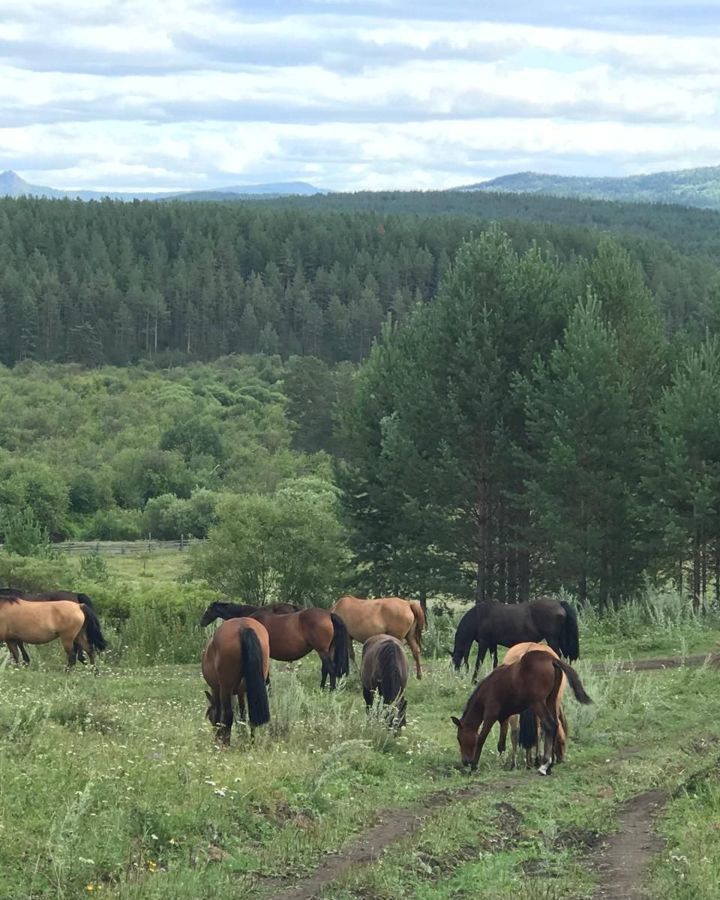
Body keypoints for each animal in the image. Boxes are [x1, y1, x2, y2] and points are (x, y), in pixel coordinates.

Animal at [450, 596, 580, 684]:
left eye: (455, 661)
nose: (456, 676)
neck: (478, 617)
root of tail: (559, 603)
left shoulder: (484, 642)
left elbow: (479, 661)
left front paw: (474, 680)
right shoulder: (492, 644)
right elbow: (494, 661)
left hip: (552, 638)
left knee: (557, 654)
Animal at [452, 648, 592, 772]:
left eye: (459, 738)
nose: (465, 762)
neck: (486, 691)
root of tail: (552, 659)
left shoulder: (490, 716)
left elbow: (481, 738)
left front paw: (474, 767)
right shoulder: (504, 717)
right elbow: (501, 744)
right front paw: (504, 764)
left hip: (538, 703)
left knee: (549, 725)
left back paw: (544, 765)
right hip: (551, 700)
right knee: (556, 725)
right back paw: (549, 764)